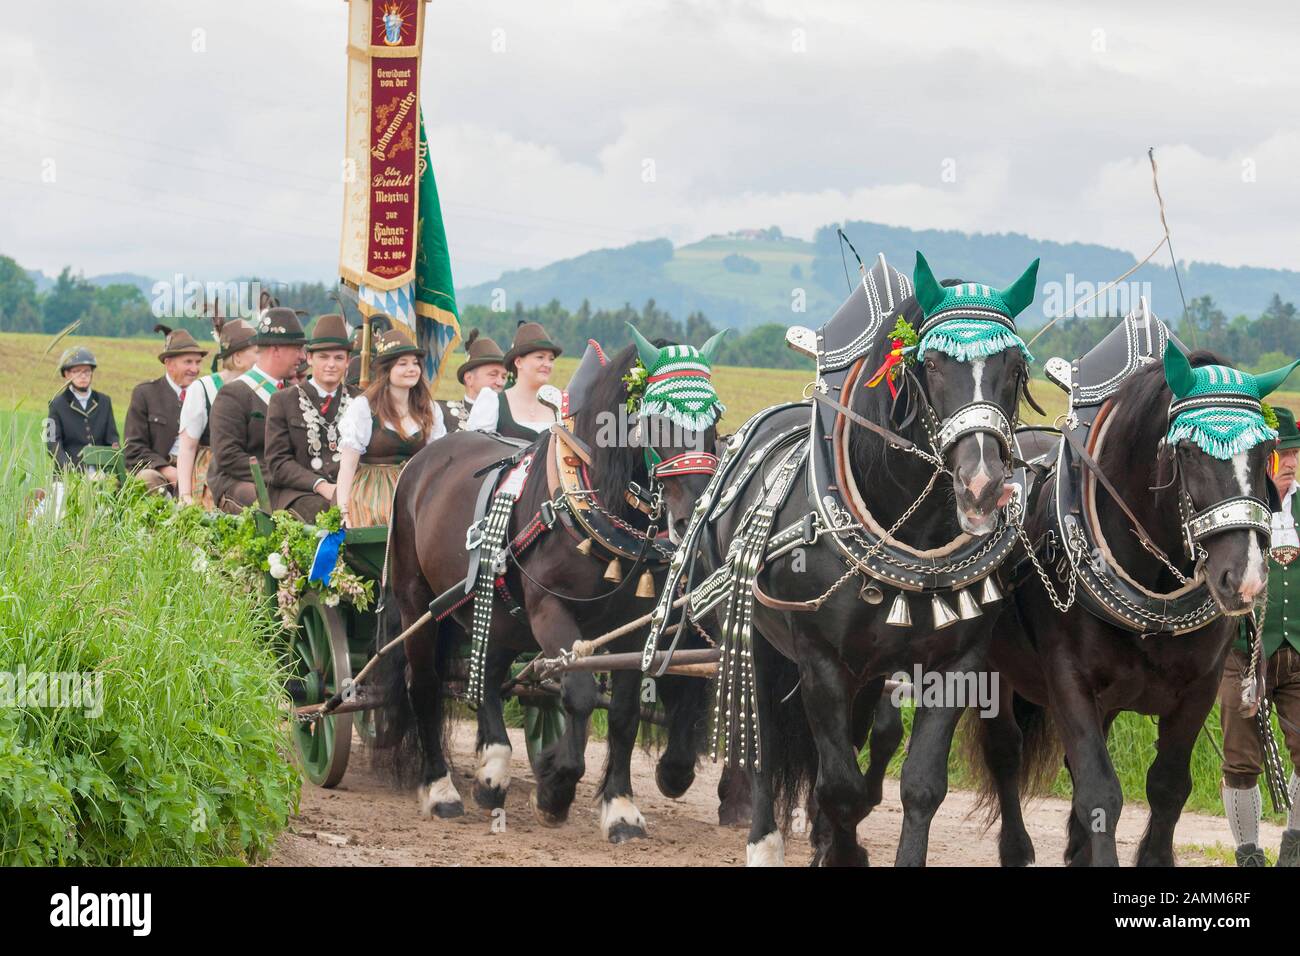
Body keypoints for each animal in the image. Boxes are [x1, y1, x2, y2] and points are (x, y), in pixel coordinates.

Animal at [377, 340, 722, 842]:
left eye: (715, 417)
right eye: (655, 418)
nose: (695, 512)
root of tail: (422, 460)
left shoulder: (633, 630)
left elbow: (623, 714)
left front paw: (621, 808)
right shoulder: (550, 611)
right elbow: (579, 693)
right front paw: (555, 789)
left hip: (500, 615)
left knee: (487, 679)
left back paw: (493, 771)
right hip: (415, 601)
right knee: (423, 685)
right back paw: (442, 789)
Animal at [972, 348, 1274, 868]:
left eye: (1263, 451)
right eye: (1188, 450)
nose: (1246, 577)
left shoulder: (1200, 688)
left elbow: (1168, 786)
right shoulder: (1069, 680)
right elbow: (1100, 791)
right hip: (990, 669)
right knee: (1004, 752)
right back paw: (1016, 848)